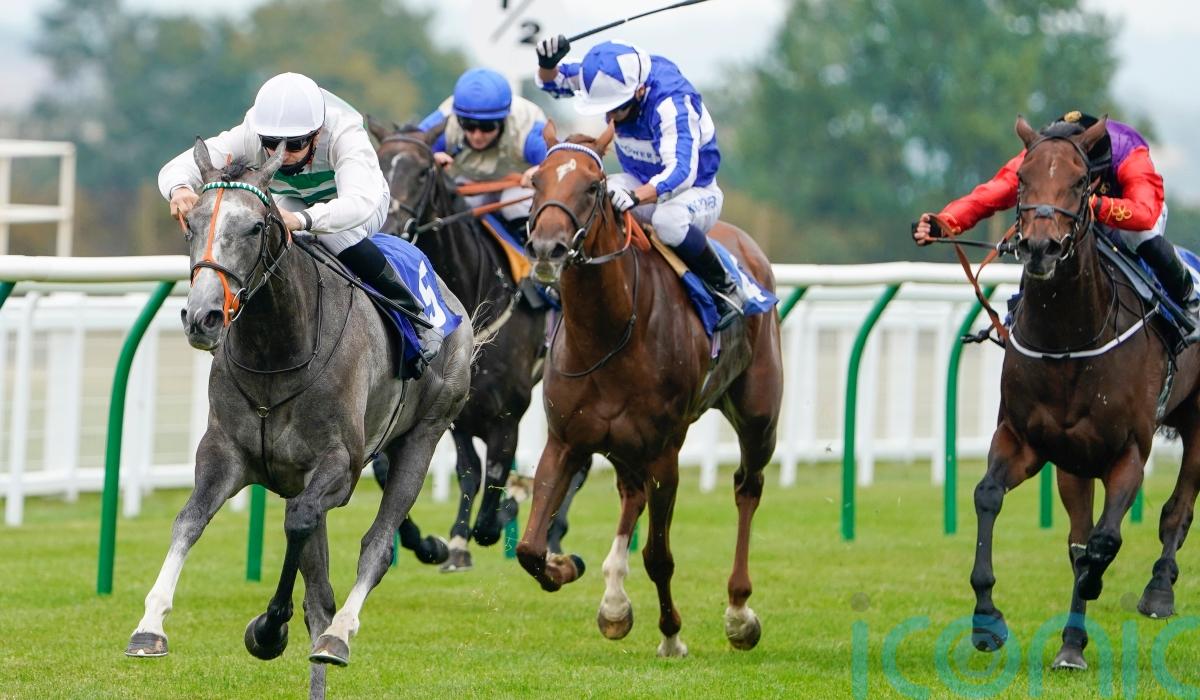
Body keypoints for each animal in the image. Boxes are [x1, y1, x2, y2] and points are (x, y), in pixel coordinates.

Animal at [124, 139, 473, 694]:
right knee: (319, 583)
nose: (203, 317)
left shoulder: (339, 467)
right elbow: (190, 521)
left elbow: (303, 522)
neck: (277, 351)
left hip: (424, 435)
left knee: (375, 546)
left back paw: (339, 635)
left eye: (254, 227)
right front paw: (150, 626)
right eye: (191, 223)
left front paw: (269, 628)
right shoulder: (224, 454)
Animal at [367, 119, 589, 569]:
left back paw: (554, 533)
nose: (390, 230)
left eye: (423, 172)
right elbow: (465, 471)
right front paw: (446, 542)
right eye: (381, 164)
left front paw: (503, 513)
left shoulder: (508, 412)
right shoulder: (457, 411)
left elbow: (497, 481)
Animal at [515, 122, 783, 656]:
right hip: (623, 446)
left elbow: (659, 555)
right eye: (537, 181)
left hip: (758, 416)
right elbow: (529, 548)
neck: (610, 333)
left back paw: (739, 612)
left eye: (593, 186)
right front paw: (564, 566)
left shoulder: (664, 453)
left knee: (747, 487)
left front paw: (672, 635)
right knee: (630, 493)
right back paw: (614, 602)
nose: (547, 248)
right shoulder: (565, 441)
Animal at [968, 115, 1200, 671]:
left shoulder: (1128, 451)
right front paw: (987, 617)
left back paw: (1159, 590)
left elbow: (1104, 540)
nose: (1040, 247)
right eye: (1021, 179)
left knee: (1177, 510)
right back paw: (1071, 643)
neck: (1069, 336)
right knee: (1081, 535)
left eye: (1079, 183)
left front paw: (1100, 584)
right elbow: (990, 497)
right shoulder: (1027, 441)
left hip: (1198, 419)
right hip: (1075, 463)